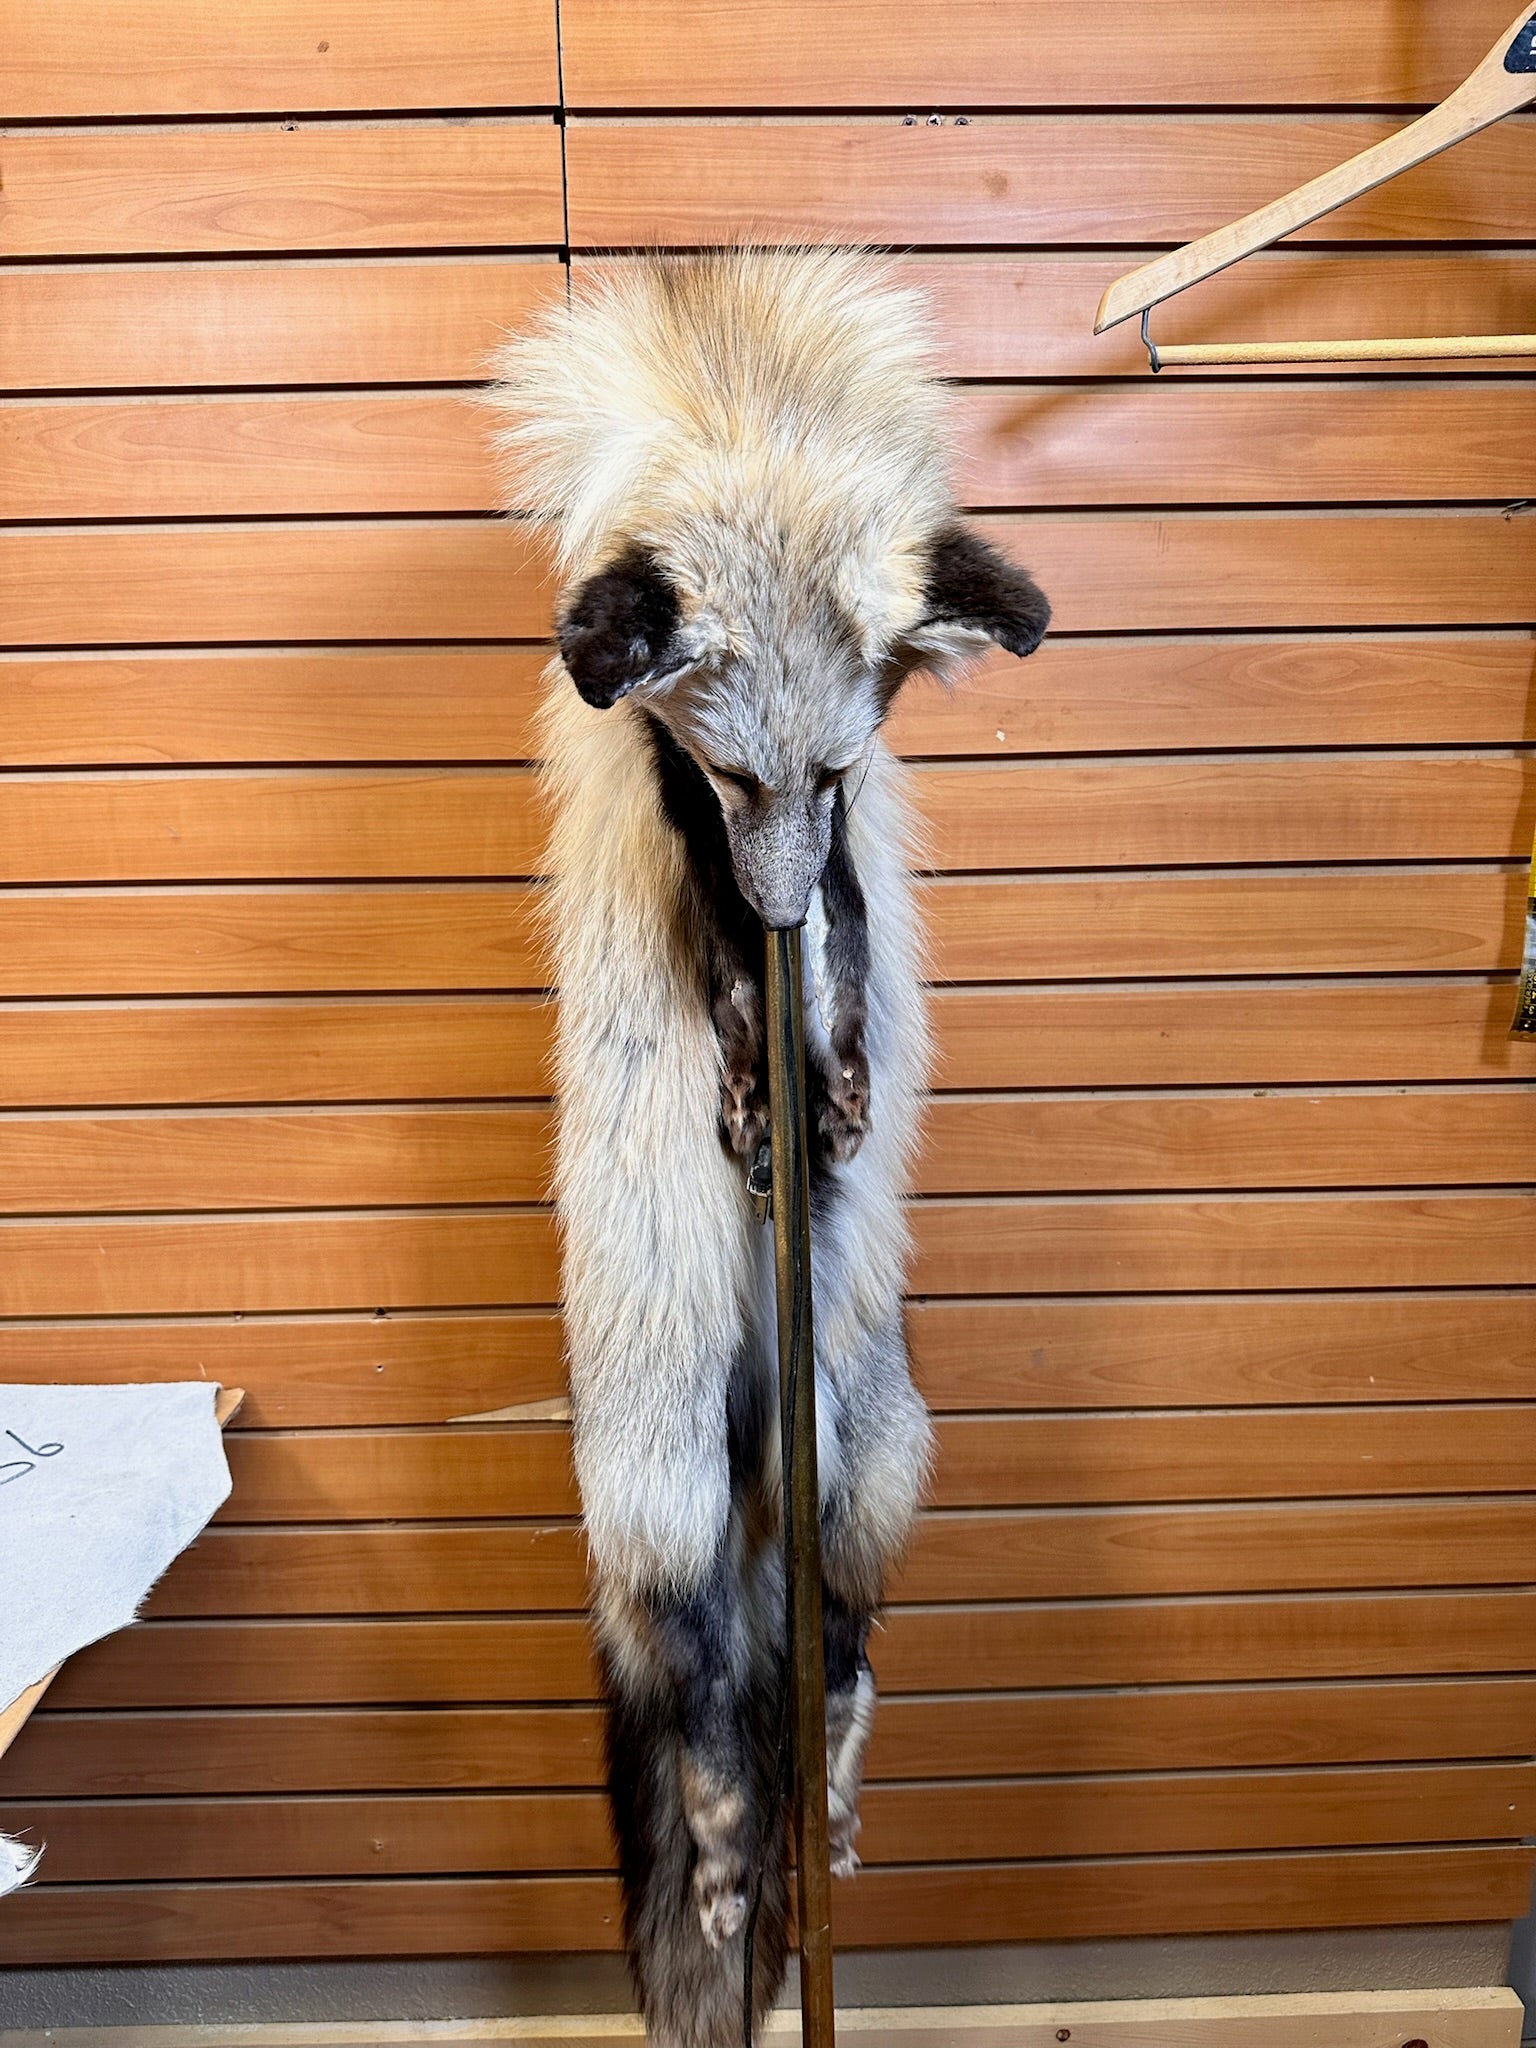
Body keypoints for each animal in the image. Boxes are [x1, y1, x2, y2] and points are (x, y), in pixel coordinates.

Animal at [490, 246, 1049, 2047]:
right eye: (729, 768)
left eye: (843, 763)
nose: (780, 903)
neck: (751, 397)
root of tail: (755, 1440)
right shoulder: (675, 808)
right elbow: (730, 974)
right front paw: (754, 1073)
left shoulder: (838, 843)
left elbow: (860, 943)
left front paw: (839, 1070)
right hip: (655, 1502)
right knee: (706, 1736)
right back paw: (738, 1868)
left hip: (867, 1466)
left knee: (841, 1675)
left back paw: (834, 1812)